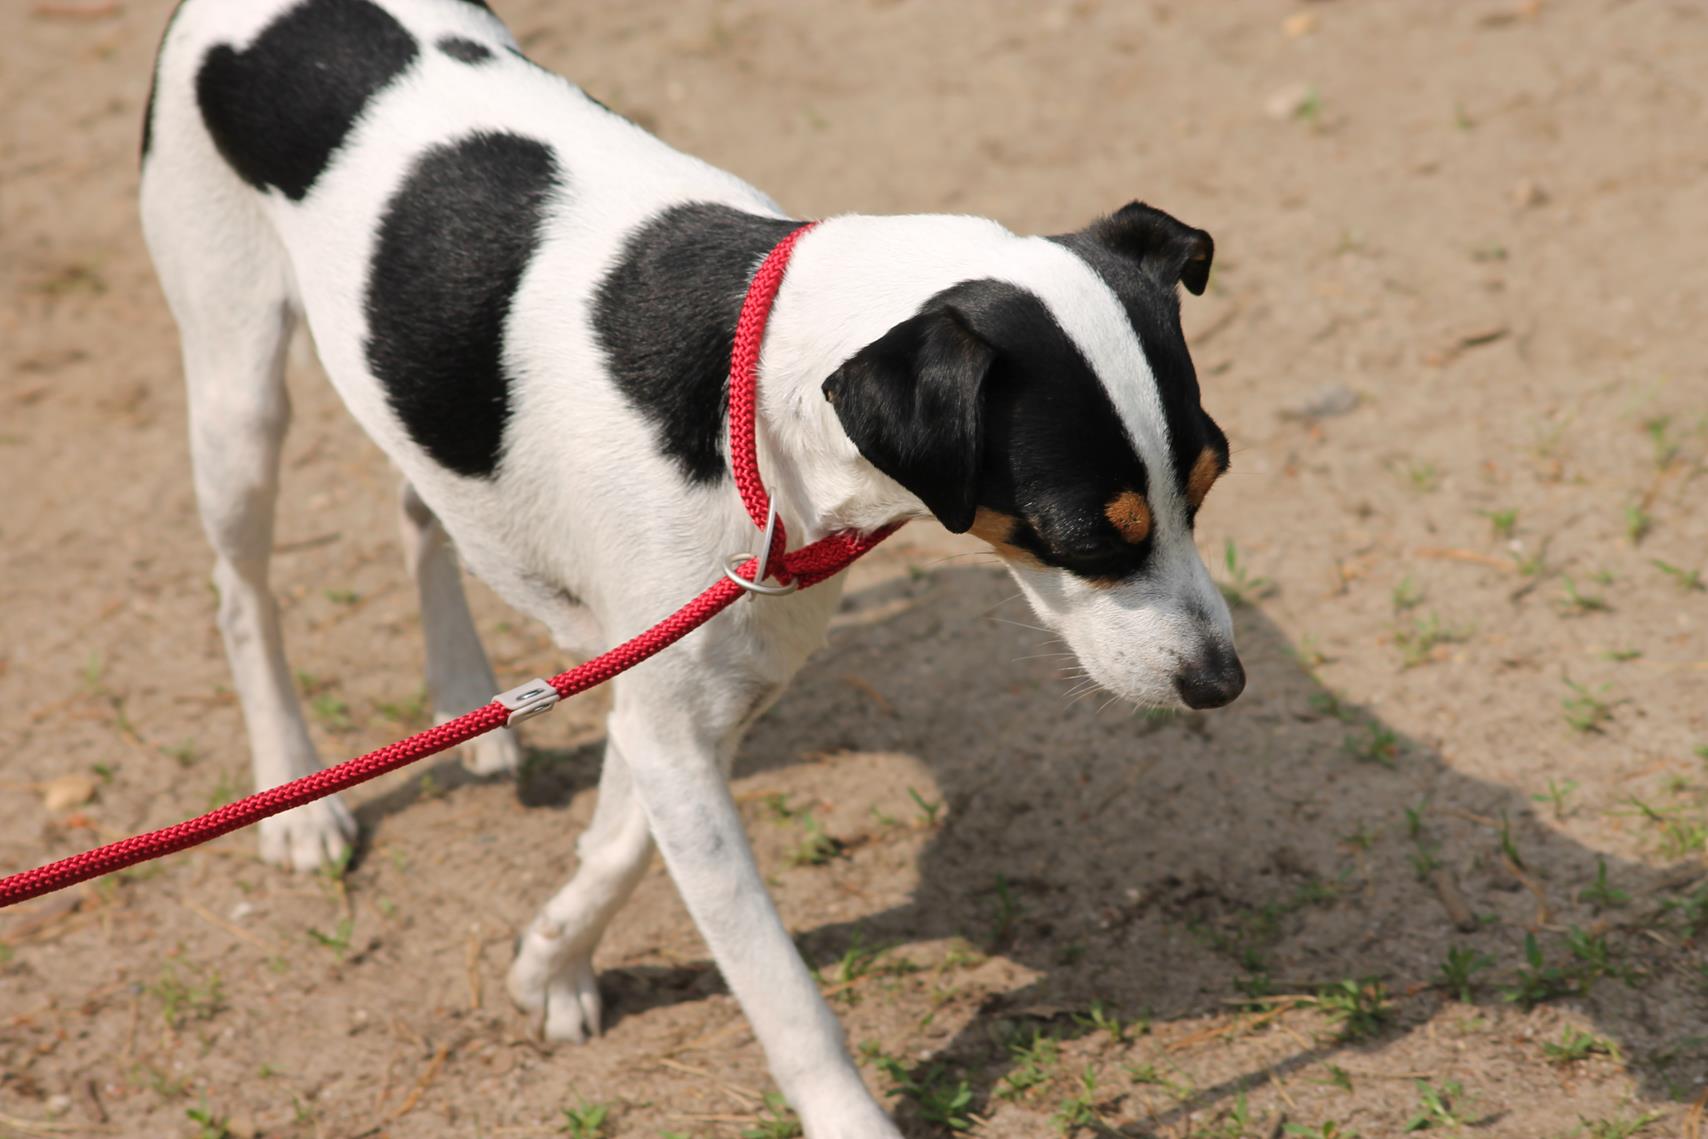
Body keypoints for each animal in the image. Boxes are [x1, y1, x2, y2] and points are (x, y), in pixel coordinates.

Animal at [143, 0, 1243, 1133]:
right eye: (1085, 536)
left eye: (1210, 480)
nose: (1222, 681)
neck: (752, 394)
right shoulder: (675, 720)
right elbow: (780, 988)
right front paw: (846, 1113)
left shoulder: (685, 696)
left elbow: (619, 842)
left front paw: (551, 959)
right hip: (235, 390)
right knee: (241, 596)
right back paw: (297, 795)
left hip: (420, 398)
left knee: (420, 504)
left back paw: (460, 695)